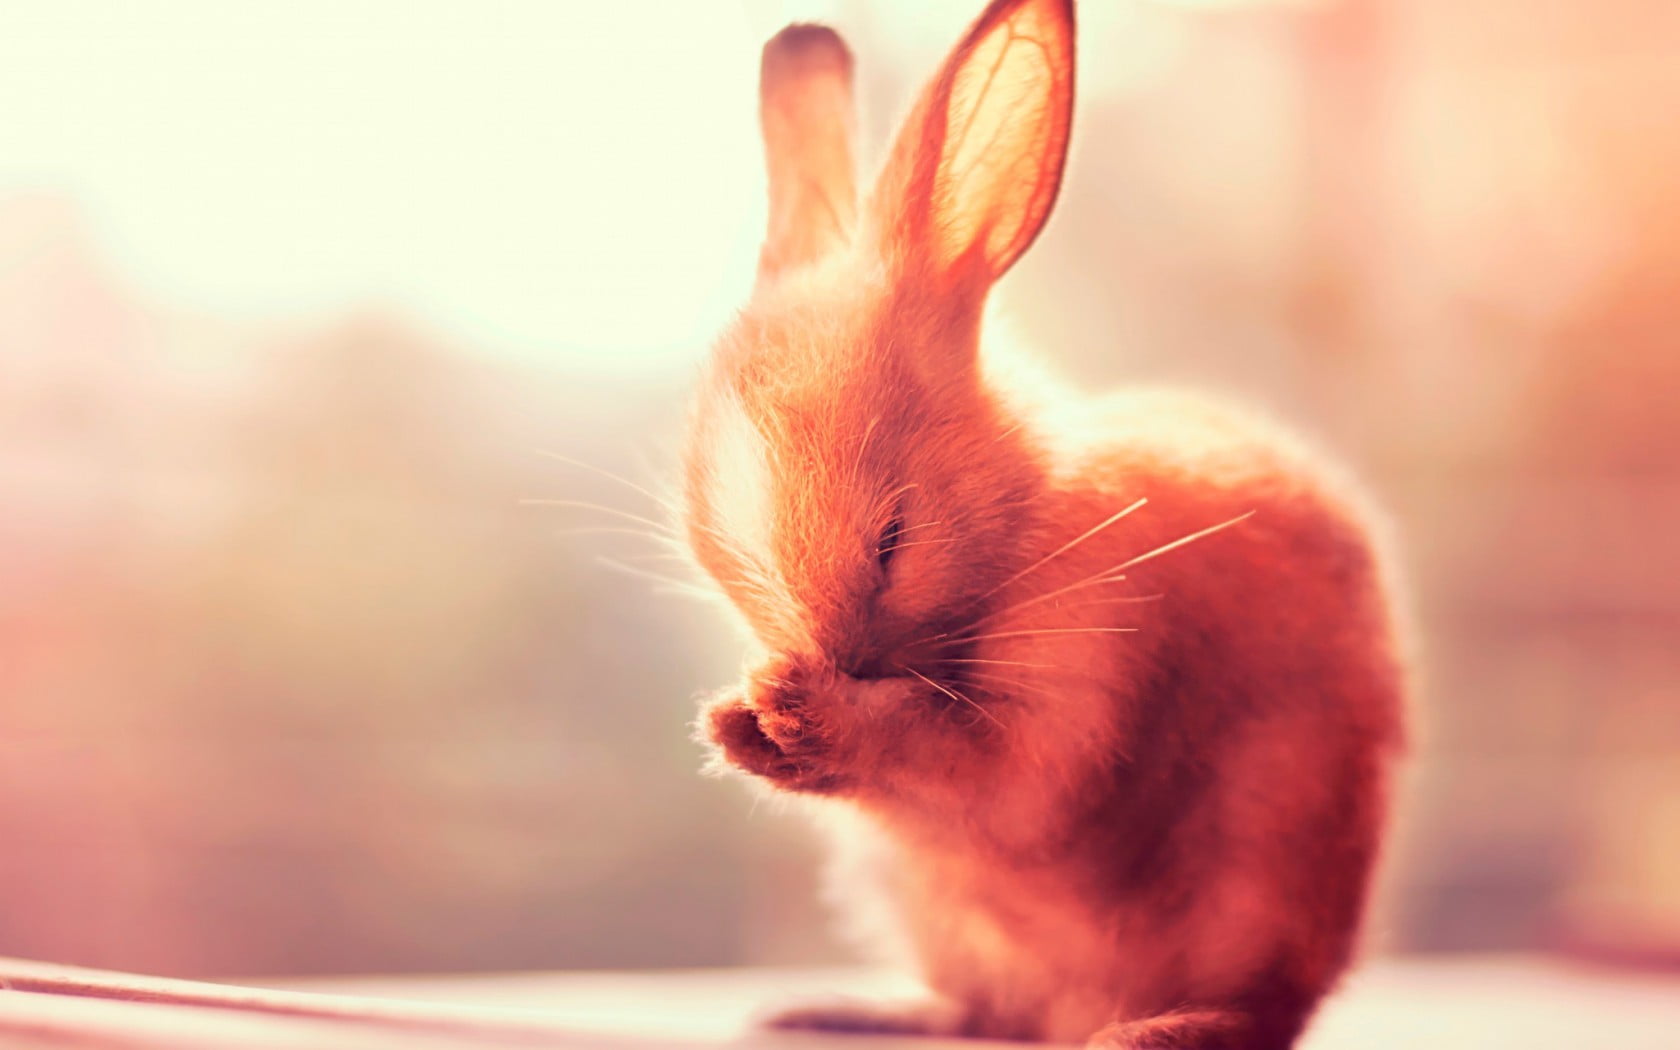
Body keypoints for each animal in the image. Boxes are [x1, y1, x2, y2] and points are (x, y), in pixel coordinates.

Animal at [682, 1, 1408, 1047]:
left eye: (894, 538)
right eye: (714, 559)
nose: (837, 660)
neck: (1020, 519)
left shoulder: (1067, 702)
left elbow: (989, 783)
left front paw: (798, 710)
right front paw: (739, 723)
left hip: (1266, 866)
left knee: (1259, 1009)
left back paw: (1150, 1031)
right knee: (985, 1011)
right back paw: (839, 1012)